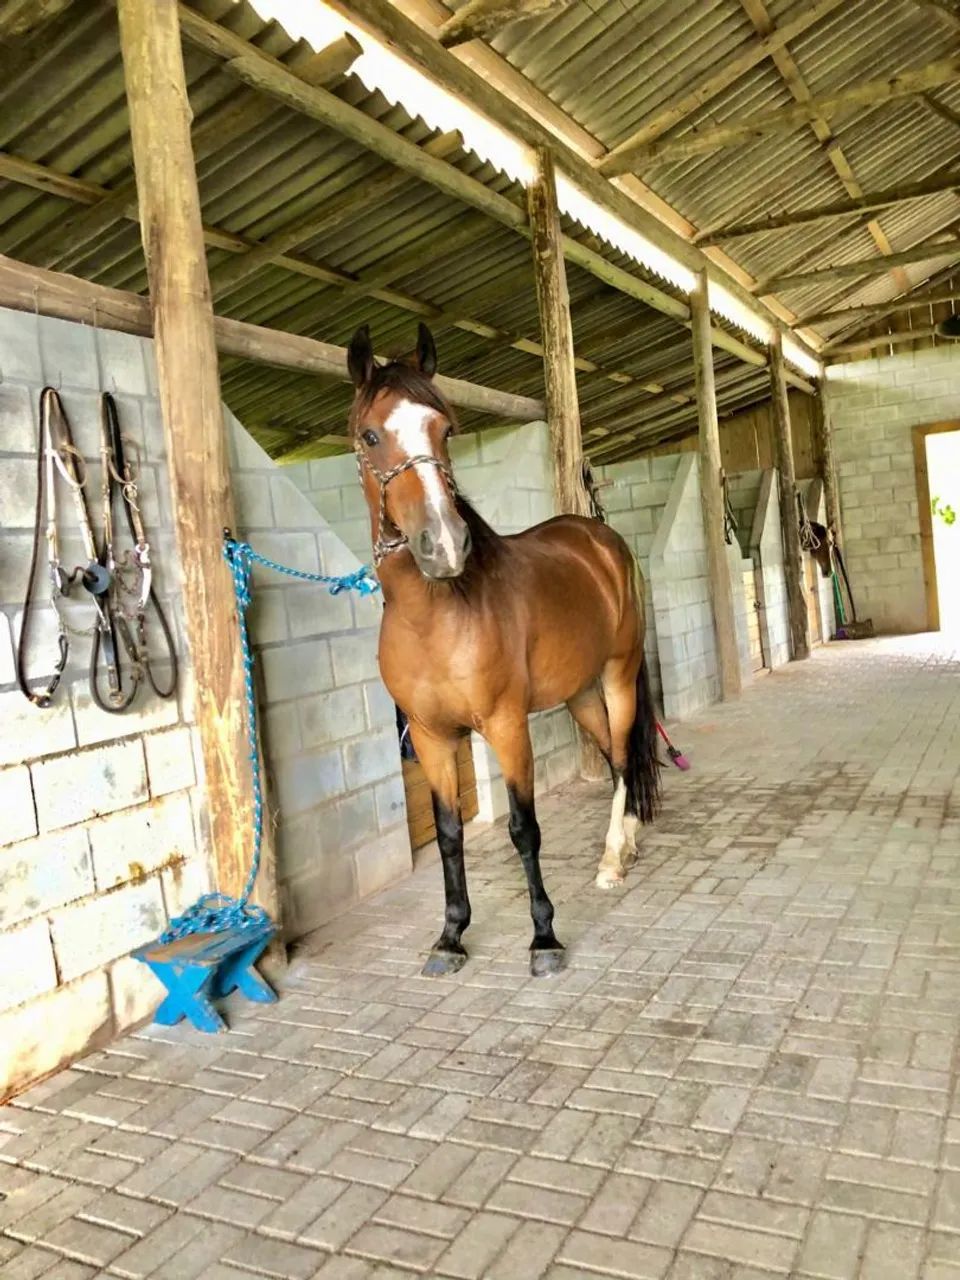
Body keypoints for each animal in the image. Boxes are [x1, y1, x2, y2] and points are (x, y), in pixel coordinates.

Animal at [347, 322, 661, 978]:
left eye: (446, 428)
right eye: (370, 434)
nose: (444, 544)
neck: (436, 615)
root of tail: (601, 538)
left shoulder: (506, 725)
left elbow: (523, 827)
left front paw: (544, 937)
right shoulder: (432, 736)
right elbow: (448, 832)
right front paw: (450, 936)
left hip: (618, 675)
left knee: (623, 760)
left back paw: (610, 861)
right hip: (580, 693)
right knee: (611, 753)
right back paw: (627, 842)